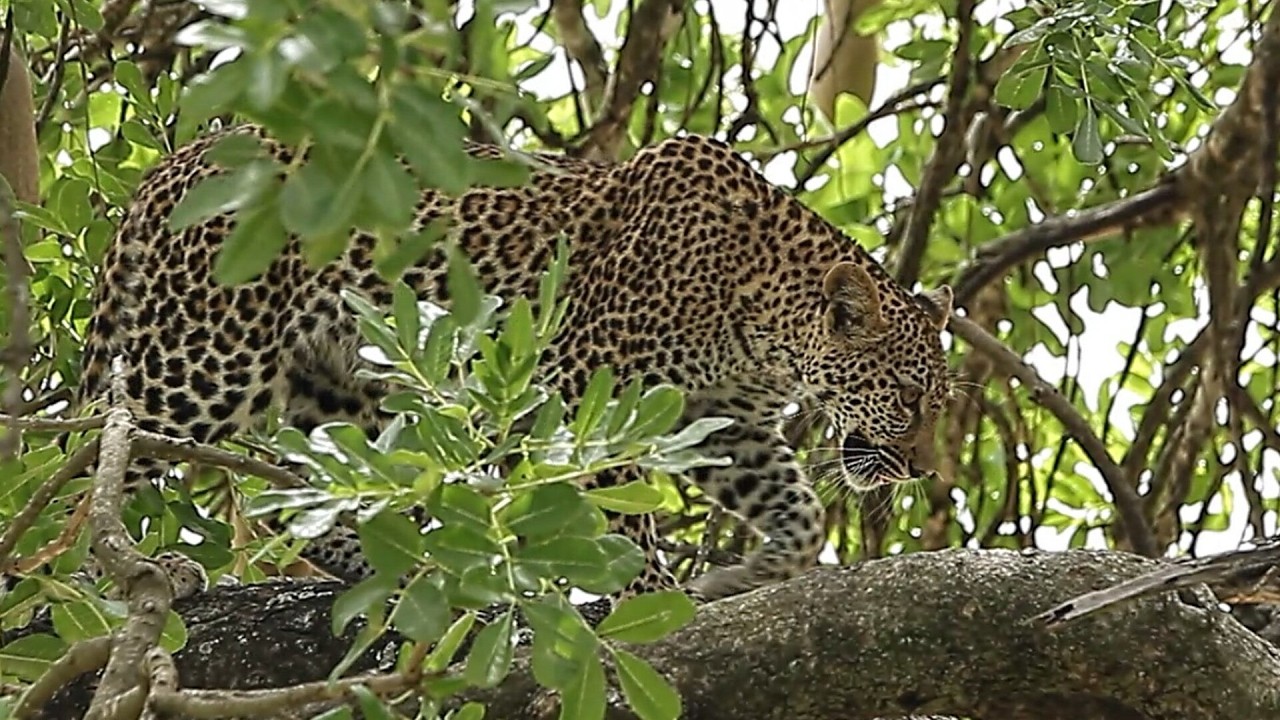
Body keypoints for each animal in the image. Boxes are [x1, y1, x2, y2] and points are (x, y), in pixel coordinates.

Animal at [72, 126, 953, 605]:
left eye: (940, 406)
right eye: (908, 396)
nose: (920, 469)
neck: (766, 321)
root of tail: (176, 163)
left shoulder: (724, 424)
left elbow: (799, 513)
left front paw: (746, 577)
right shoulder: (591, 387)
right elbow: (625, 523)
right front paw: (652, 602)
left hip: (344, 387)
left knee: (307, 493)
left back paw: (403, 565)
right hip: (203, 360)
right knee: (90, 457)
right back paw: (98, 577)